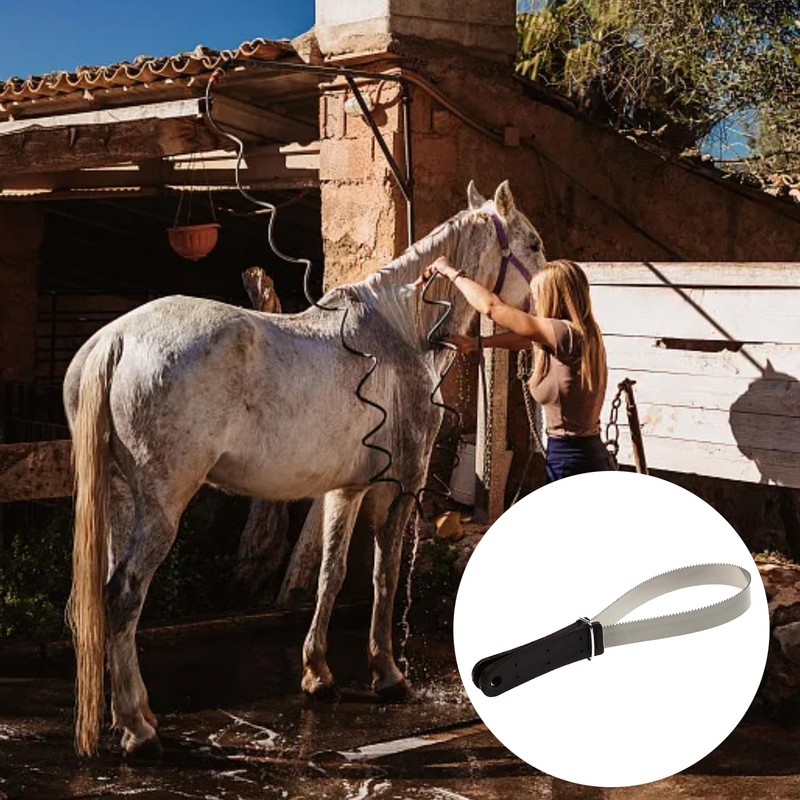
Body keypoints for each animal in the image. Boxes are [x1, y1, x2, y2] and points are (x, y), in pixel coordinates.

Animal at [64, 180, 546, 757]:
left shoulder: (346, 490)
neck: (399, 332)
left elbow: (330, 575)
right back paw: (138, 728)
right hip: (161, 505)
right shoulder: (399, 485)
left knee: (111, 598)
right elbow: (384, 576)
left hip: (119, 499)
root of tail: (116, 340)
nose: (548, 314)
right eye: (535, 243)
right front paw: (388, 675)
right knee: (124, 597)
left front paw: (318, 674)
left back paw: (131, 716)